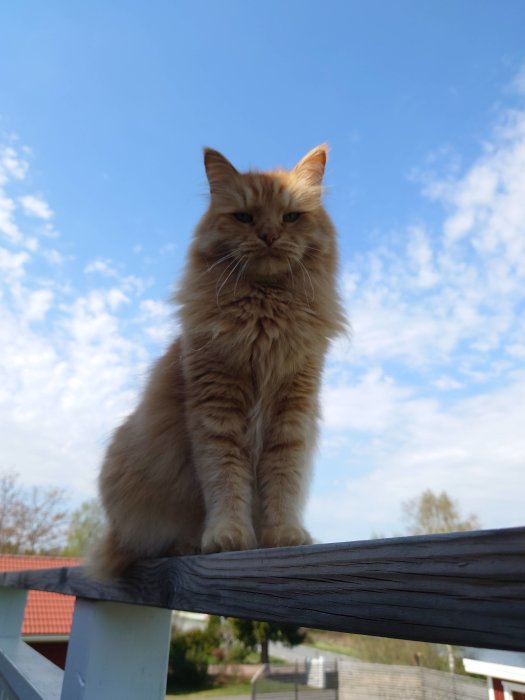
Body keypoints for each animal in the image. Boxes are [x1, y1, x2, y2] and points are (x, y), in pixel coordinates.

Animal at [92, 145, 346, 576]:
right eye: (244, 217)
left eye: (290, 217)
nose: (269, 235)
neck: (265, 317)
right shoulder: (216, 413)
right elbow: (225, 481)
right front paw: (227, 536)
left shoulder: (292, 411)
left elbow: (283, 480)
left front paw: (283, 534)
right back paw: (188, 544)